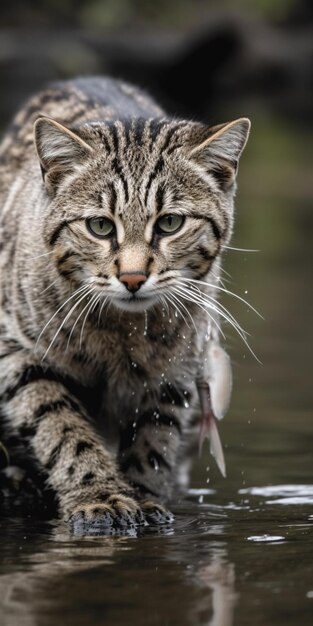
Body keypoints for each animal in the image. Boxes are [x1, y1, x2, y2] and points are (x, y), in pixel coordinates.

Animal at [0, 75, 249, 528]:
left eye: (170, 223)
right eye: (100, 226)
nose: (132, 277)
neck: (121, 333)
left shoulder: (175, 372)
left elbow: (154, 439)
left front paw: (144, 496)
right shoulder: (16, 351)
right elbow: (60, 425)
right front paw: (100, 496)